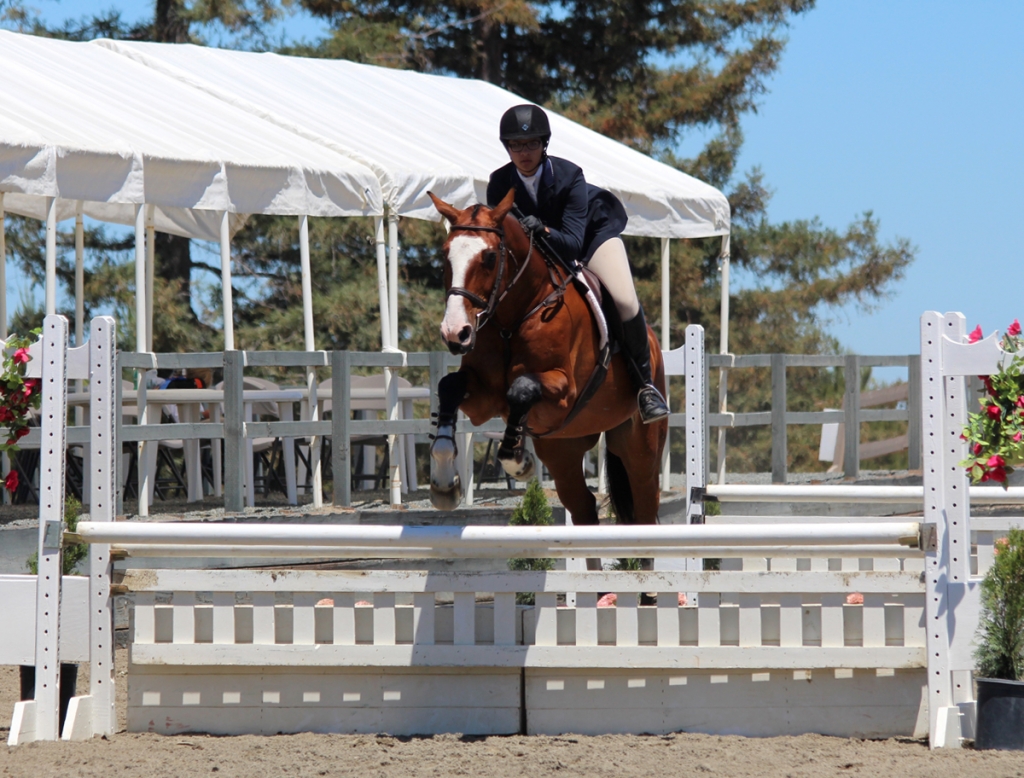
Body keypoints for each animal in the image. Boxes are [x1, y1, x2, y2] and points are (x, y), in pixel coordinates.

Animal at [428, 188, 667, 532]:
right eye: (445, 254)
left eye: (490, 258)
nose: (455, 333)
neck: (512, 318)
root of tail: (654, 345)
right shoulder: (484, 399)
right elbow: (449, 387)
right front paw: (444, 485)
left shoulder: (565, 392)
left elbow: (522, 389)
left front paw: (520, 463)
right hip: (563, 448)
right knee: (583, 508)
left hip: (640, 447)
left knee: (645, 506)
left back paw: (651, 401)